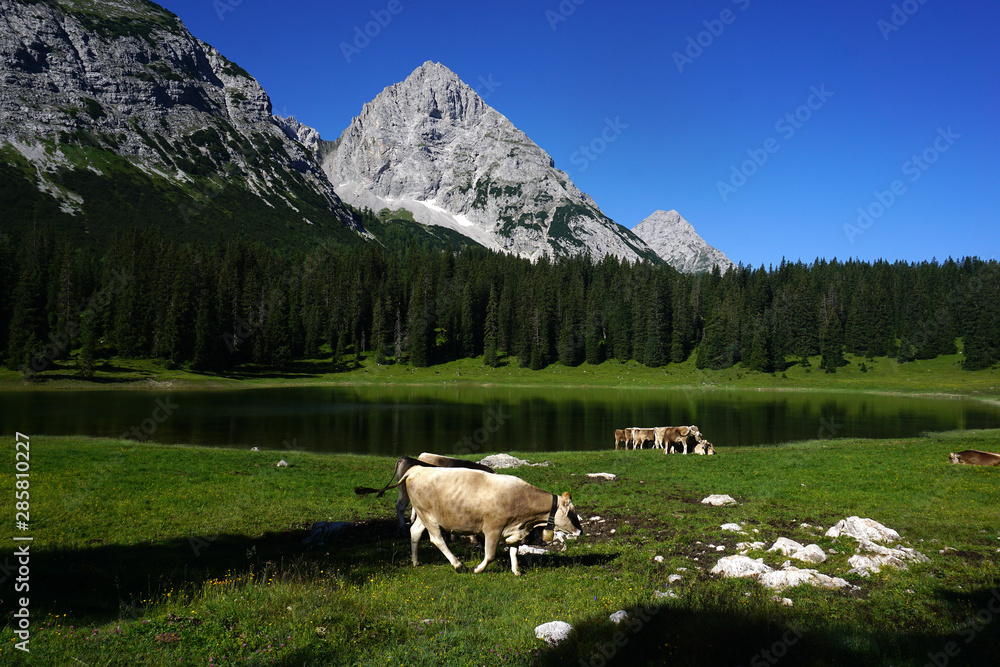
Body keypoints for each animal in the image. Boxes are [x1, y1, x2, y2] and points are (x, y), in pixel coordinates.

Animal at [359, 467, 582, 575]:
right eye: (572, 512)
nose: (580, 532)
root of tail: (416, 469)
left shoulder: (516, 531)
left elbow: (513, 551)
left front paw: (516, 571)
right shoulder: (492, 529)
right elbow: (490, 555)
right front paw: (478, 569)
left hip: (424, 514)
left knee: (414, 532)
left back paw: (415, 561)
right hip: (428, 516)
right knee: (436, 539)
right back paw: (457, 564)